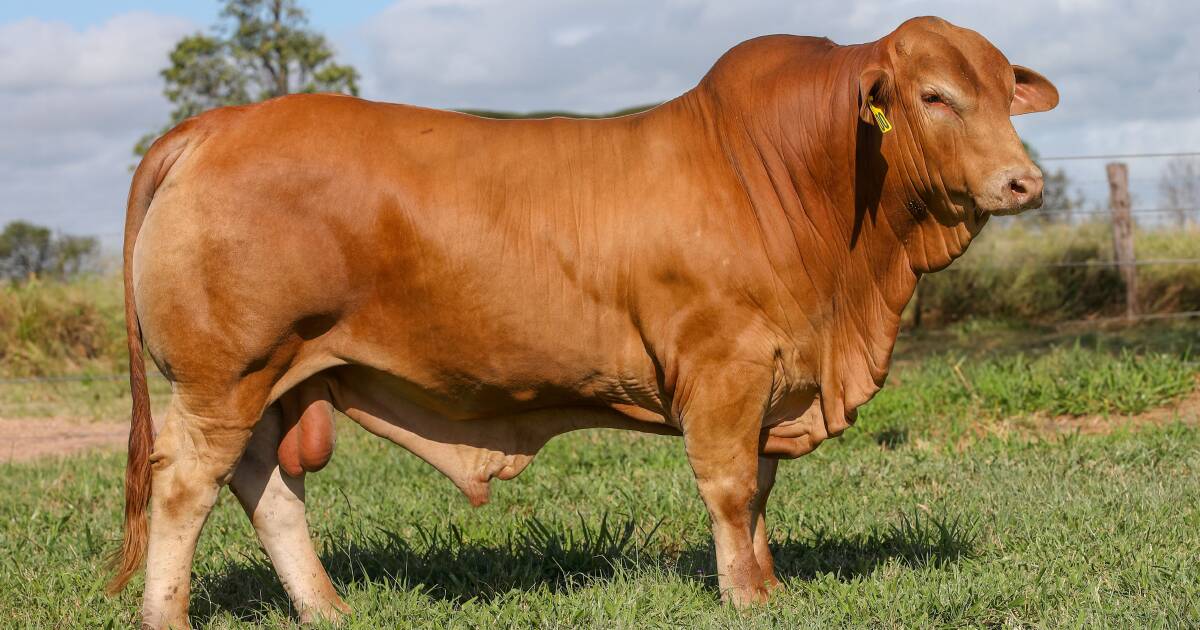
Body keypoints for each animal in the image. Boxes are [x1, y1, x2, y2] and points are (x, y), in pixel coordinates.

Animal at [108, 17, 1056, 624]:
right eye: (934, 96)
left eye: (1002, 92)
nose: (1024, 181)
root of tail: (215, 126)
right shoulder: (725, 370)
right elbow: (731, 487)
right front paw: (746, 597)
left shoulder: (771, 381)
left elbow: (759, 493)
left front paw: (771, 585)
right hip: (224, 377)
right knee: (186, 487)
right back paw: (171, 617)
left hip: (273, 381)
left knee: (267, 488)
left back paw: (328, 607)